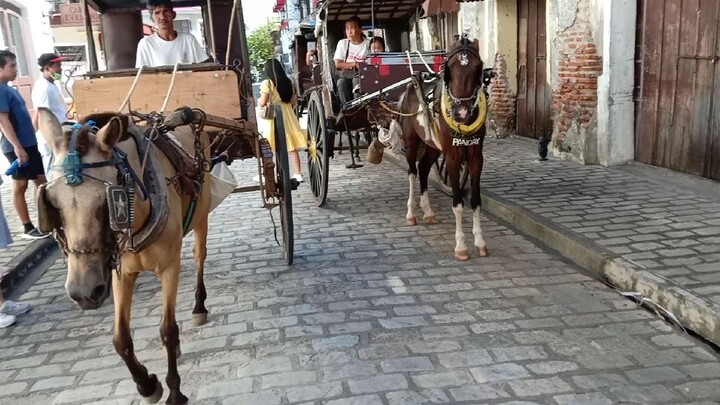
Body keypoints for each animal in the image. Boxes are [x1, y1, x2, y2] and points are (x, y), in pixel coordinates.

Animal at [37, 108, 211, 404]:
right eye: (53, 204)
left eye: (106, 201)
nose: (84, 292)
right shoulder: (119, 272)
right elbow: (120, 338)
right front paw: (147, 384)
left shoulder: (169, 267)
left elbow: (167, 330)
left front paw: (175, 391)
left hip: (202, 216)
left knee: (200, 256)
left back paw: (199, 306)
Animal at [396, 36, 492, 260]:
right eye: (450, 68)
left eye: (477, 67)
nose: (461, 113)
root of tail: (412, 84)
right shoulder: (452, 158)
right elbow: (457, 203)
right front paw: (461, 246)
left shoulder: (476, 158)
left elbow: (476, 200)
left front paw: (480, 241)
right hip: (412, 142)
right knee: (412, 172)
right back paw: (411, 213)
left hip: (434, 147)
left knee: (423, 168)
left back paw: (428, 211)